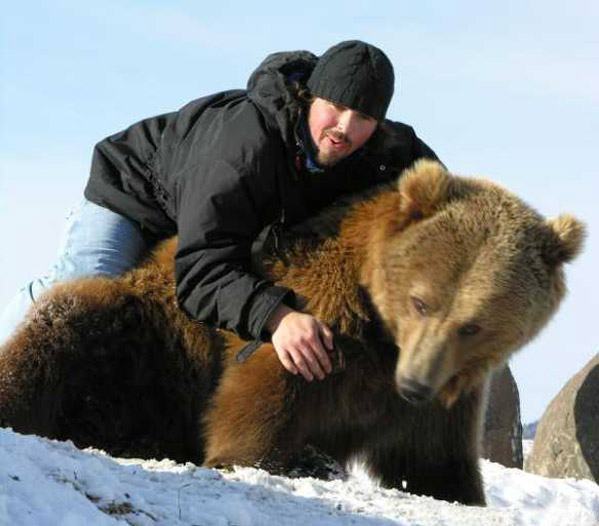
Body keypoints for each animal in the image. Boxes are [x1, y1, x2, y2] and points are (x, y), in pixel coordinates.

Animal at [0, 161, 584, 508]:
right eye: (421, 300)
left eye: (473, 324)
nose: (415, 384)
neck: (383, 336)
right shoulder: (319, 316)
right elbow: (258, 403)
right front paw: (250, 455)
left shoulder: (447, 396)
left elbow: (435, 463)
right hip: (147, 345)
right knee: (66, 326)